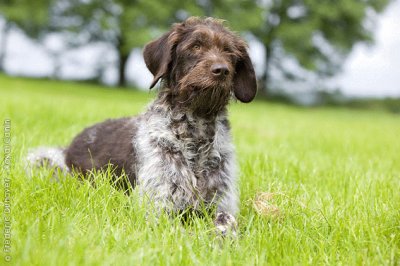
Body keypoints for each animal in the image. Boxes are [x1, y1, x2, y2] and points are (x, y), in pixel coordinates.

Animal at [28, 17, 260, 235]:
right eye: (195, 46)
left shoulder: (221, 203)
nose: (222, 70)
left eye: (229, 52)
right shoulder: (157, 208)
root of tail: (69, 147)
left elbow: (227, 222)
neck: (195, 132)